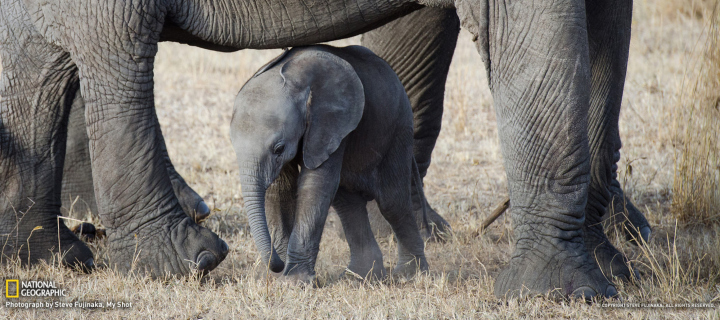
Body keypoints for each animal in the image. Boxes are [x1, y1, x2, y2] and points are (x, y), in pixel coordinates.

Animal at [233, 45, 430, 282]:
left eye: (278, 148)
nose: (277, 265)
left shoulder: (332, 123)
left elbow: (316, 184)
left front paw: (295, 281)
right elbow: (281, 188)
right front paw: (286, 277)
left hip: (398, 128)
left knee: (393, 202)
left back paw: (410, 275)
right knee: (347, 201)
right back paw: (361, 277)